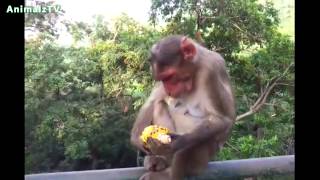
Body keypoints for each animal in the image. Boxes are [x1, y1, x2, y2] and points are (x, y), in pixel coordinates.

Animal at [129, 34, 235, 179]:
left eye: (169, 76)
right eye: (162, 79)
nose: (169, 90)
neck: (196, 68)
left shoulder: (210, 70)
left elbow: (222, 119)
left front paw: (174, 143)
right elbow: (154, 99)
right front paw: (137, 139)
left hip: (201, 161)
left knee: (192, 143)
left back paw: (170, 174)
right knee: (159, 105)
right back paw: (160, 160)